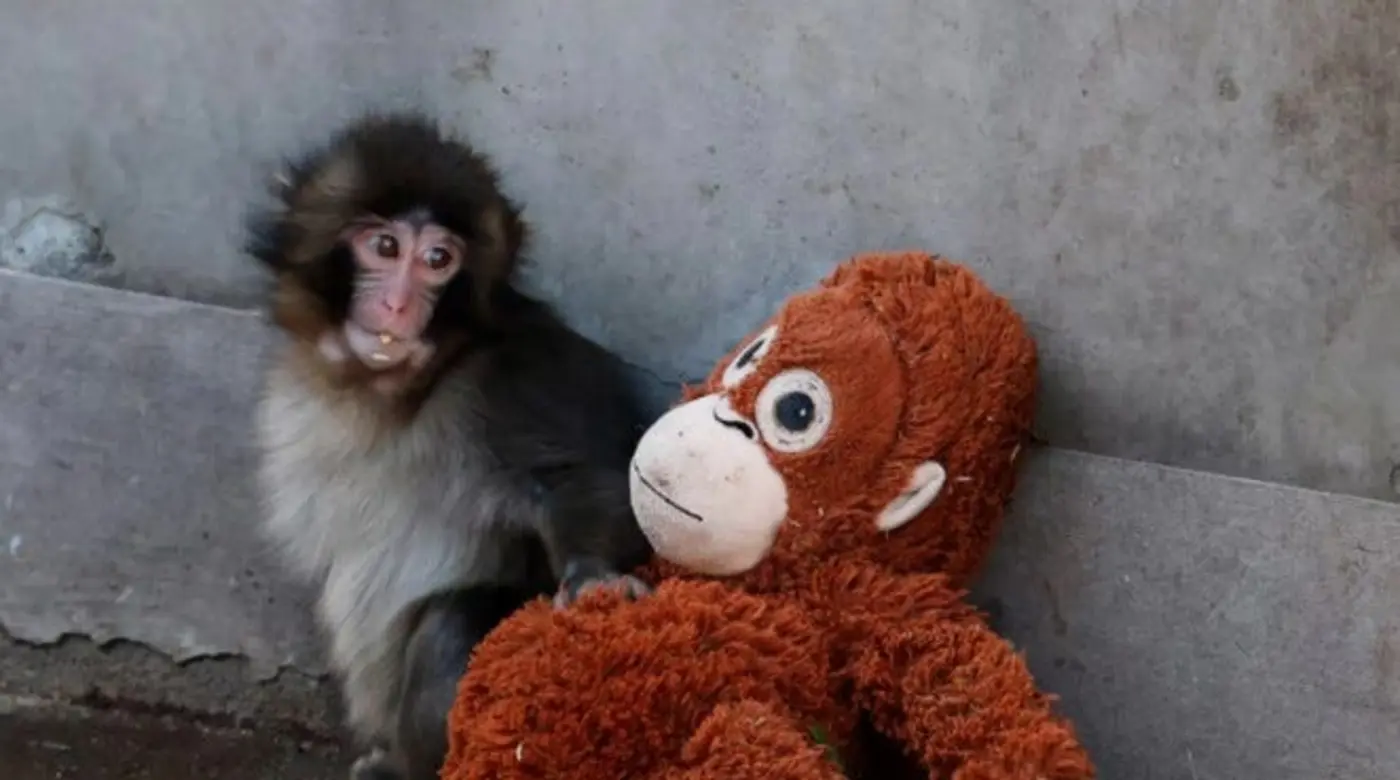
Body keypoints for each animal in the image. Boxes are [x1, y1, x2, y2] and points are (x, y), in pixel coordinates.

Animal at [244, 112, 654, 780]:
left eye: (438, 259)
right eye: (385, 248)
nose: (398, 304)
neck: (399, 391)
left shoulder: (517, 375)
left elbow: (590, 481)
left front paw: (595, 577)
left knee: (451, 625)